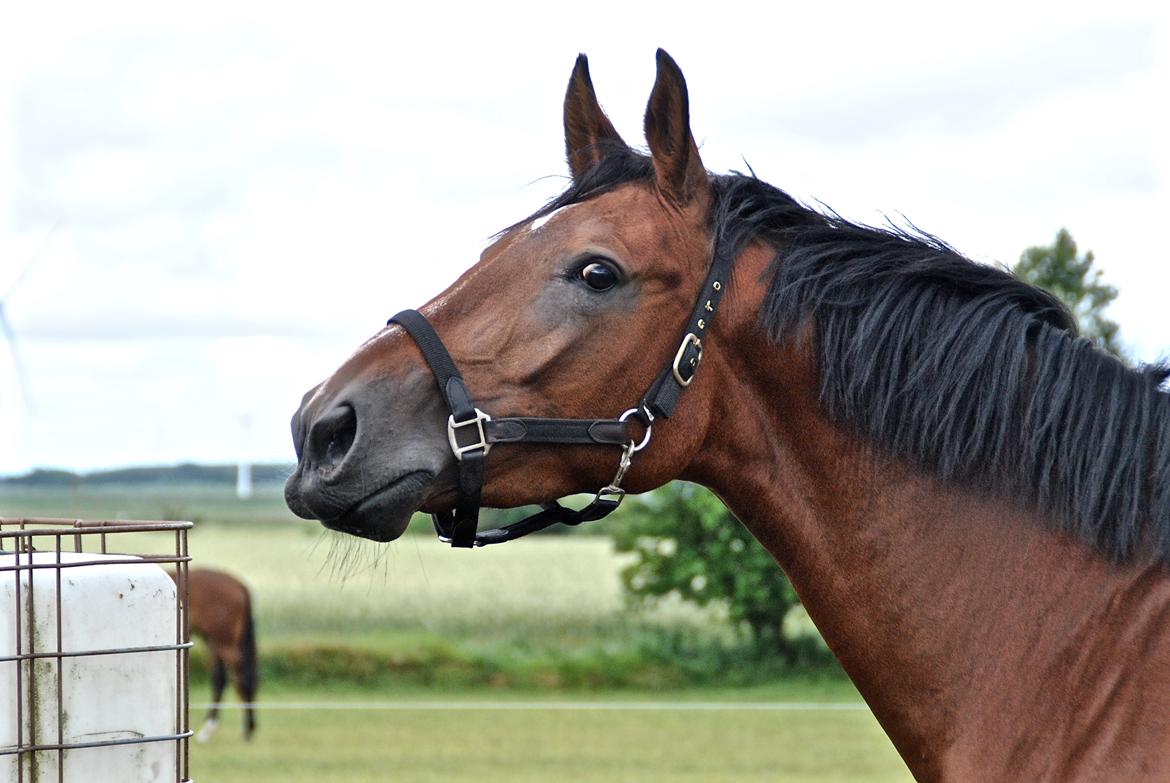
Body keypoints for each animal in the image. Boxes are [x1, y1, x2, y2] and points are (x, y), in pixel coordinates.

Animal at [169, 568, 258, 739]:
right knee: (220, 677)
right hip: (213, 641)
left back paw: (245, 728)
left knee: (238, 677)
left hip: (223, 641)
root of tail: (239, 585)